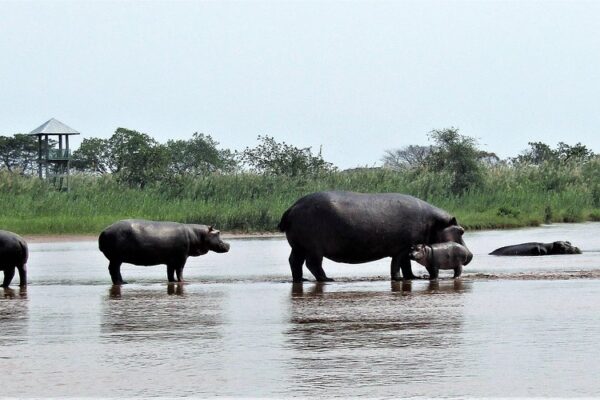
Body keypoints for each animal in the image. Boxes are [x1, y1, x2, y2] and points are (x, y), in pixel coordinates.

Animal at [98, 219, 230, 284]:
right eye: (218, 232)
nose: (228, 245)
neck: (196, 234)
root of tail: (103, 231)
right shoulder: (182, 258)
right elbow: (180, 270)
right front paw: (183, 281)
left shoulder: (170, 260)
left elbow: (170, 273)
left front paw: (173, 281)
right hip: (116, 258)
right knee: (113, 270)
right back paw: (120, 283)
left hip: (117, 259)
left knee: (115, 270)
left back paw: (123, 282)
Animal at [278, 190, 474, 282]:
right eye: (461, 230)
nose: (471, 255)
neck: (434, 223)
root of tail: (292, 207)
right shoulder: (402, 248)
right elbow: (398, 264)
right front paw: (399, 279)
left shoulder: (407, 248)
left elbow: (406, 265)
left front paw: (412, 278)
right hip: (314, 248)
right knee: (313, 264)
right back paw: (328, 279)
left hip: (298, 246)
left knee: (294, 262)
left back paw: (300, 279)